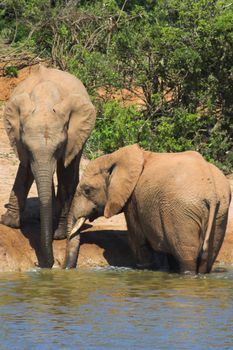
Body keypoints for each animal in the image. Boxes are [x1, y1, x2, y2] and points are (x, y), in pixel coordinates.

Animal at [0, 65, 95, 268]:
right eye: (27, 147)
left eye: (59, 147)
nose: (46, 264)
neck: (44, 101)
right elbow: (26, 169)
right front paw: (9, 223)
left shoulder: (72, 135)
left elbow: (65, 172)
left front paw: (58, 235)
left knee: (70, 168)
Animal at [64, 144, 231, 272]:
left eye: (87, 190)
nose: (66, 269)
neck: (115, 157)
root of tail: (211, 193)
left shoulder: (133, 200)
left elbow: (138, 239)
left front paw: (143, 268)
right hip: (220, 212)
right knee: (206, 257)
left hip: (182, 212)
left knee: (186, 256)